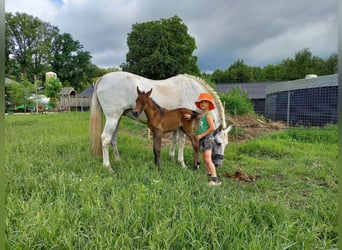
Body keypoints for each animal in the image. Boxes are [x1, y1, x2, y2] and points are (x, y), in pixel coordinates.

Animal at [89, 71, 232, 171]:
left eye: (226, 144)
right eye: (218, 143)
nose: (218, 164)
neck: (193, 92)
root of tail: (102, 78)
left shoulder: (176, 125)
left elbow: (174, 140)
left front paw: (171, 157)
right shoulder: (184, 126)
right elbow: (181, 142)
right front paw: (182, 163)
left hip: (118, 118)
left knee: (113, 138)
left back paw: (118, 159)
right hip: (112, 117)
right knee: (105, 138)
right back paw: (108, 166)